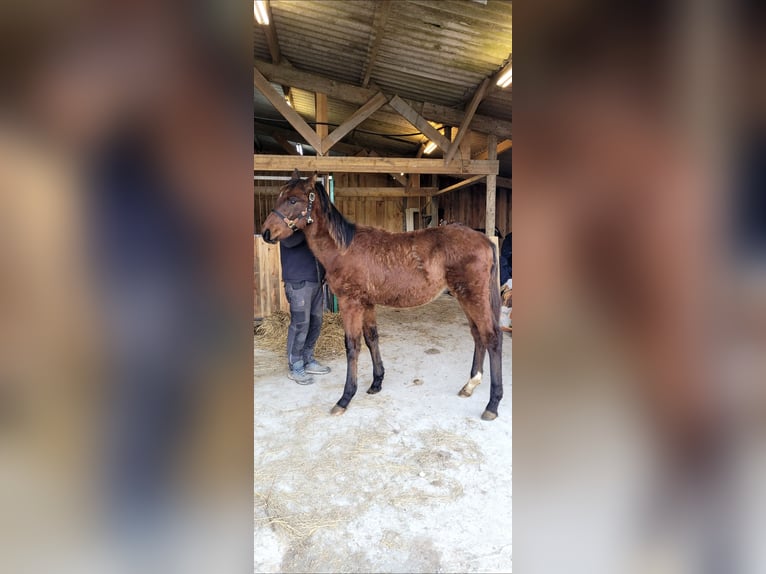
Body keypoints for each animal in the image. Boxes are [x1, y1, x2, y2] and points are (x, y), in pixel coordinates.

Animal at [264, 171, 504, 424]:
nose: (267, 232)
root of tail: (485, 240)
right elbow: (372, 339)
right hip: (463, 296)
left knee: (492, 337)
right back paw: (470, 385)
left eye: (292, 200)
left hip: (473, 297)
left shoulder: (351, 303)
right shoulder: (367, 303)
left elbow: (352, 346)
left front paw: (345, 398)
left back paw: (492, 404)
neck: (343, 249)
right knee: (478, 335)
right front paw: (376, 382)